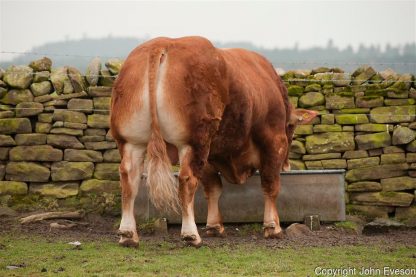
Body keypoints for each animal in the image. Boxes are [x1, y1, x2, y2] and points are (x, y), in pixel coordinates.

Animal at [110, 36, 318, 246]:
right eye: (291, 127)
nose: (287, 165)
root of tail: (161, 44)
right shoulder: (274, 142)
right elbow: (270, 185)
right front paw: (272, 227)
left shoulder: (211, 154)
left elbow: (213, 189)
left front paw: (214, 226)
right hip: (194, 142)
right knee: (187, 180)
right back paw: (191, 234)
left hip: (131, 142)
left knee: (129, 179)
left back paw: (127, 234)